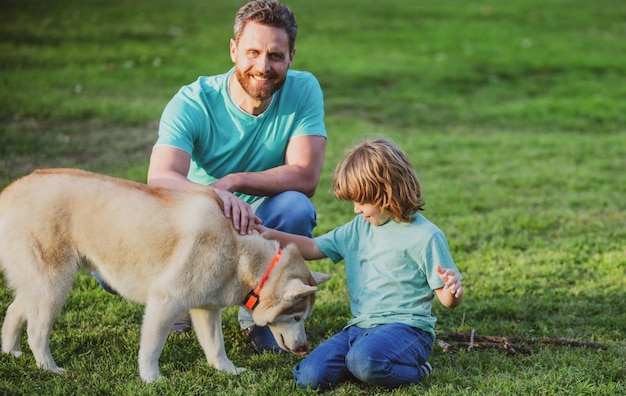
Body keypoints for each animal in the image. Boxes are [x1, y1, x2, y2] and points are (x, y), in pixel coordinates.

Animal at [0, 169, 332, 382]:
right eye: (297, 317)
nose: (304, 349)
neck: (243, 255)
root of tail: (11, 189)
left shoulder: (206, 308)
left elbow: (216, 347)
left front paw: (227, 370)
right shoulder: (165, 301)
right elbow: (151, 348)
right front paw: (151, 379)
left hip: (40, 285)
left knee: (14, 312)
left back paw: (11, 352)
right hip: (54, 284)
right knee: (36, 331)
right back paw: (48, 368)